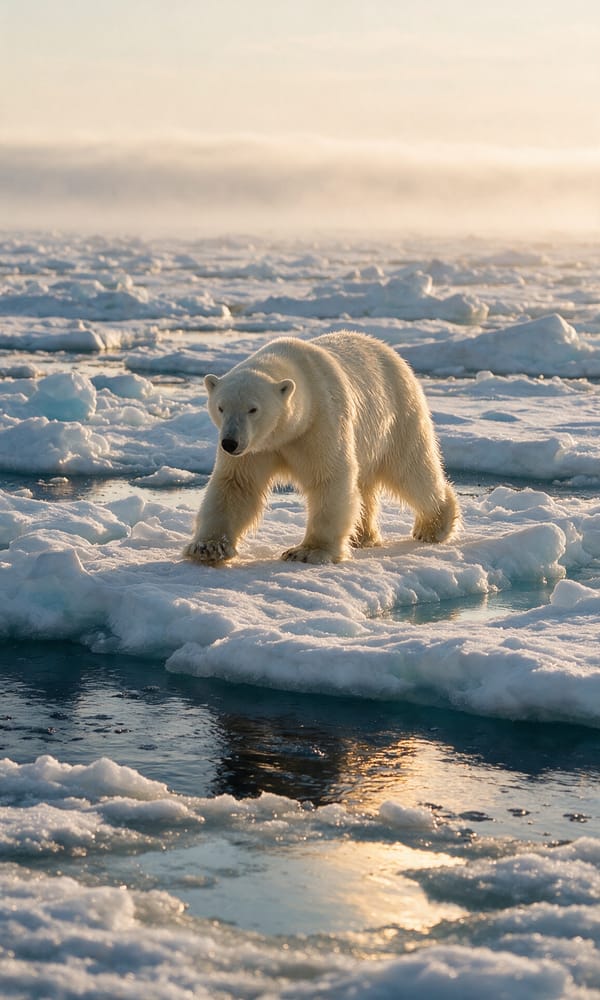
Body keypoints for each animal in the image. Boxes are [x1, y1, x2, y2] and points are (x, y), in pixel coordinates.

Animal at [183, 331, 459, 566]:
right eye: (221, 407)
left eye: (253, 409)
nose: (229, 442)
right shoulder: (257, 448)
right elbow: (236, 484)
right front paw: (208, 547)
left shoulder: (319, 422)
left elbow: (329, 477)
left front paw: (307, 552)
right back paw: (362, 536)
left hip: (399, 415)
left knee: (411, 470)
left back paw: (434, 526)